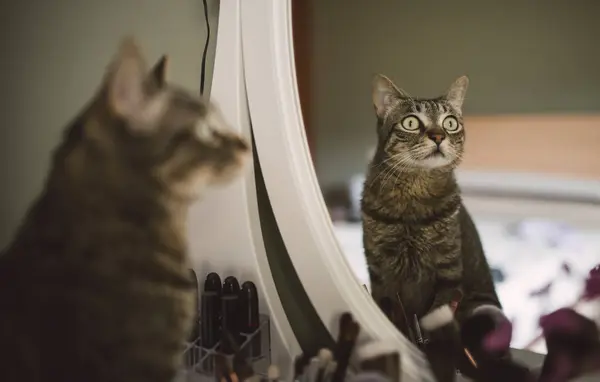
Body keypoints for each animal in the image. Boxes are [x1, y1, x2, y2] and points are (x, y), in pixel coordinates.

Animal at [360, 74, 506, 380]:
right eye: (411, 122)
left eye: (450, 122)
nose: (438, 136)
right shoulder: (380, 275)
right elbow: (392, 319)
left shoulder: (447, 274)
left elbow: (438, 329)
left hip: (485, 312)